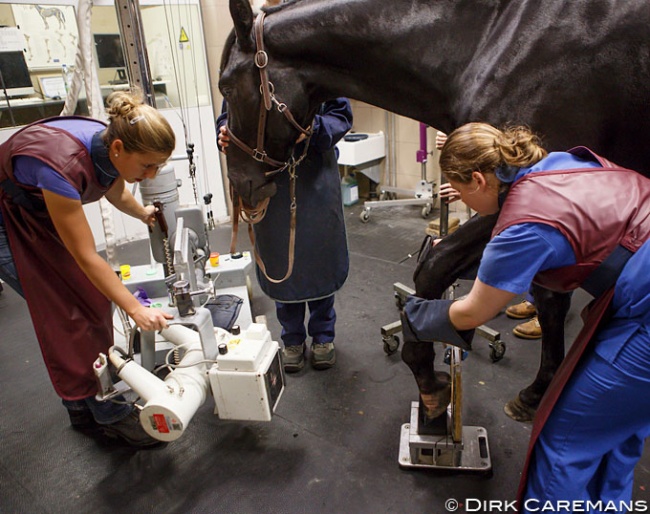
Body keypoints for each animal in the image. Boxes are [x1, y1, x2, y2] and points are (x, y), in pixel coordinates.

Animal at [218, 0, 648, 420]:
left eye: (225, 85)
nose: (238, 184)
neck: (492, 41)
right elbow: (549, 299)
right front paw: (537, 391)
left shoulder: (523, 203)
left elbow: (433, 266)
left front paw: (428, 373)